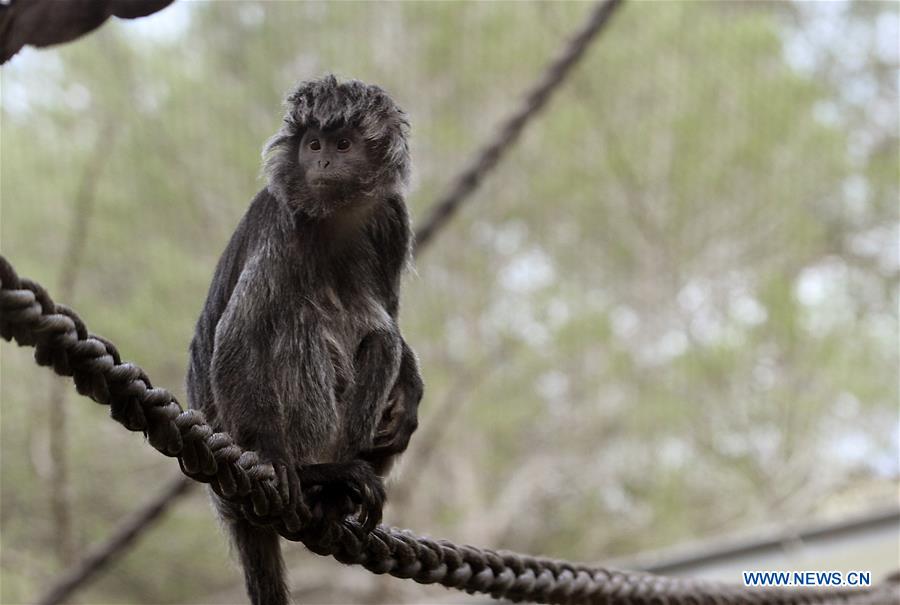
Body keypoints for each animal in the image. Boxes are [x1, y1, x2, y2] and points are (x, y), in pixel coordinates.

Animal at [187, 75, 426, 604]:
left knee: (380, 337)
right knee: (297, 321)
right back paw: (315, 476)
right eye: (313, 144)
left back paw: (334, 497)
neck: (335, 216)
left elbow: (391, 314)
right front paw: (275, 459)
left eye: (343, 144)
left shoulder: (391, 217)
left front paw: (411, 394)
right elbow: (239, 337)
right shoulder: (281, 223)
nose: (323, 162)